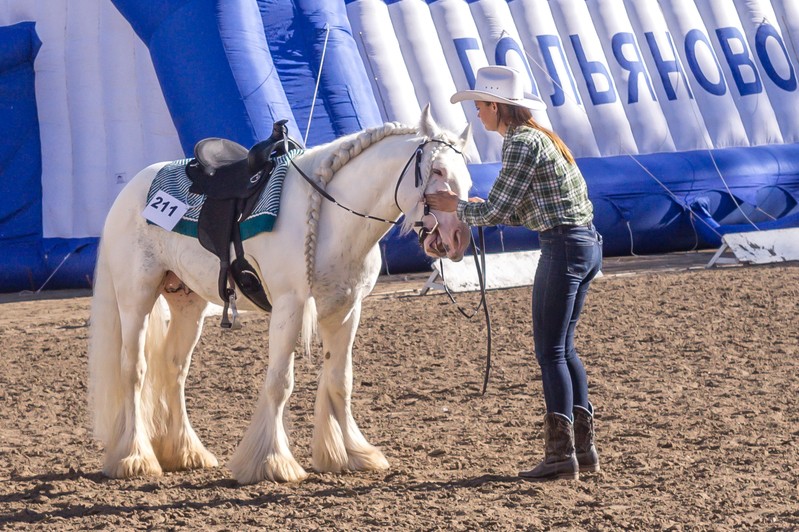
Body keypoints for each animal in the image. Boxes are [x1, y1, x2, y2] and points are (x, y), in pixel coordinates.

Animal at [89, 108, 476, 486]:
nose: (456, 239)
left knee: (174, 369)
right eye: (438, 170)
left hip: (188, 303)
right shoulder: (290, 306)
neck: (331, 216)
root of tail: (131, 190)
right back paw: (135, 458)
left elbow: (340, 380)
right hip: (136, 298)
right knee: (134, 370)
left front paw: (351, 455)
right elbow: (280, 383)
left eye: (468, 179)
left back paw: (186, 453)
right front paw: (271, 462)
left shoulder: (346, 310)